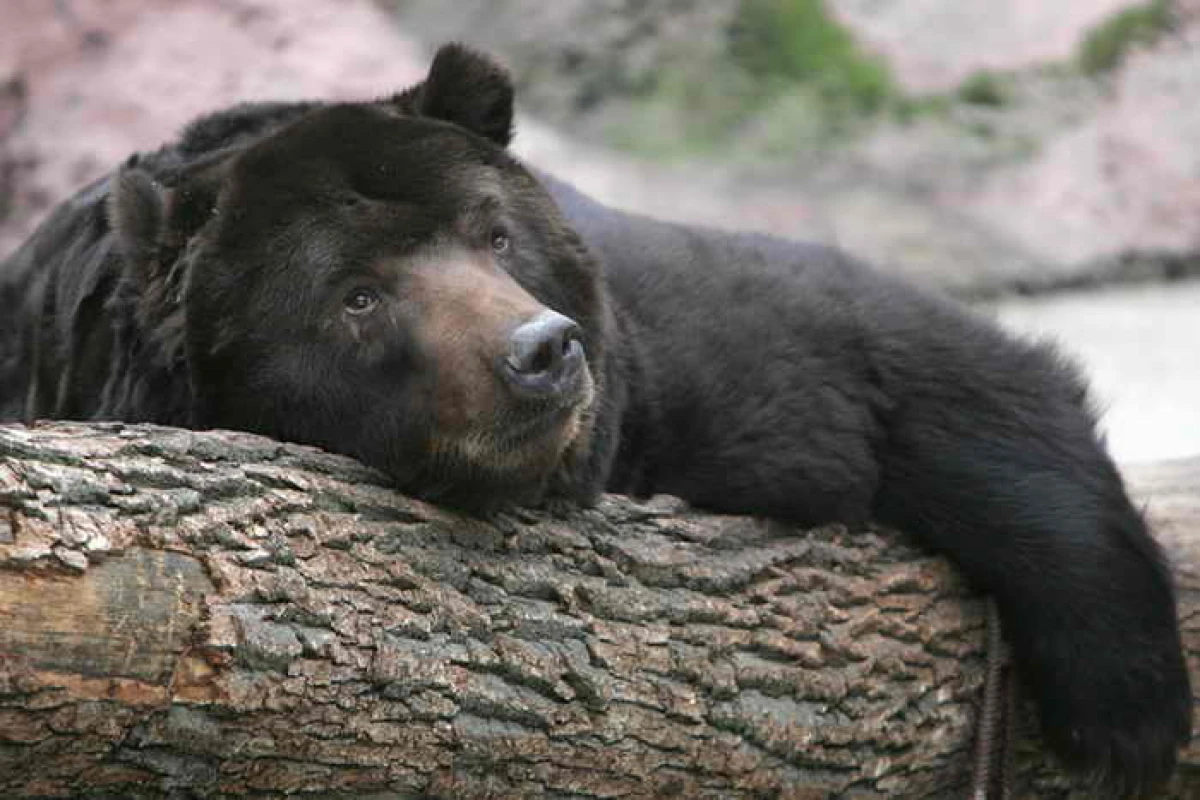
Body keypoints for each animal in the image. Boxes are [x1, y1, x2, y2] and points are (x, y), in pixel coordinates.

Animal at [0, 44, 1190, 795]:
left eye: (494, 233)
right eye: (357, 296)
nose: (540, 352)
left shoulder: (668, 363)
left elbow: (900, 362)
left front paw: (1126, 716)